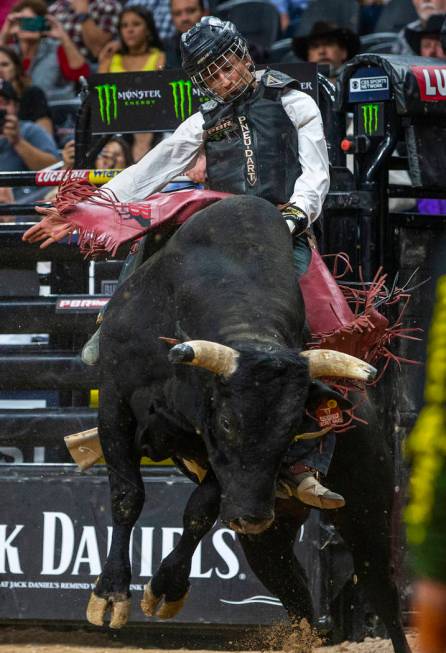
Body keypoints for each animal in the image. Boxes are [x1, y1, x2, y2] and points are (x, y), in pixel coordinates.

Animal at [88, 195, 412, 652]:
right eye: (227, 421)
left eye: (294, 428)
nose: (252, 516)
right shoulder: (115, 404)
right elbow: (126, 496)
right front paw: (111, 593)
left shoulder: (221, 468)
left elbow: (199, 510)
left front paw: (166, 588)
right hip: (271, 541)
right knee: (296, 596)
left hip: (367, 506)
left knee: (379, 586)